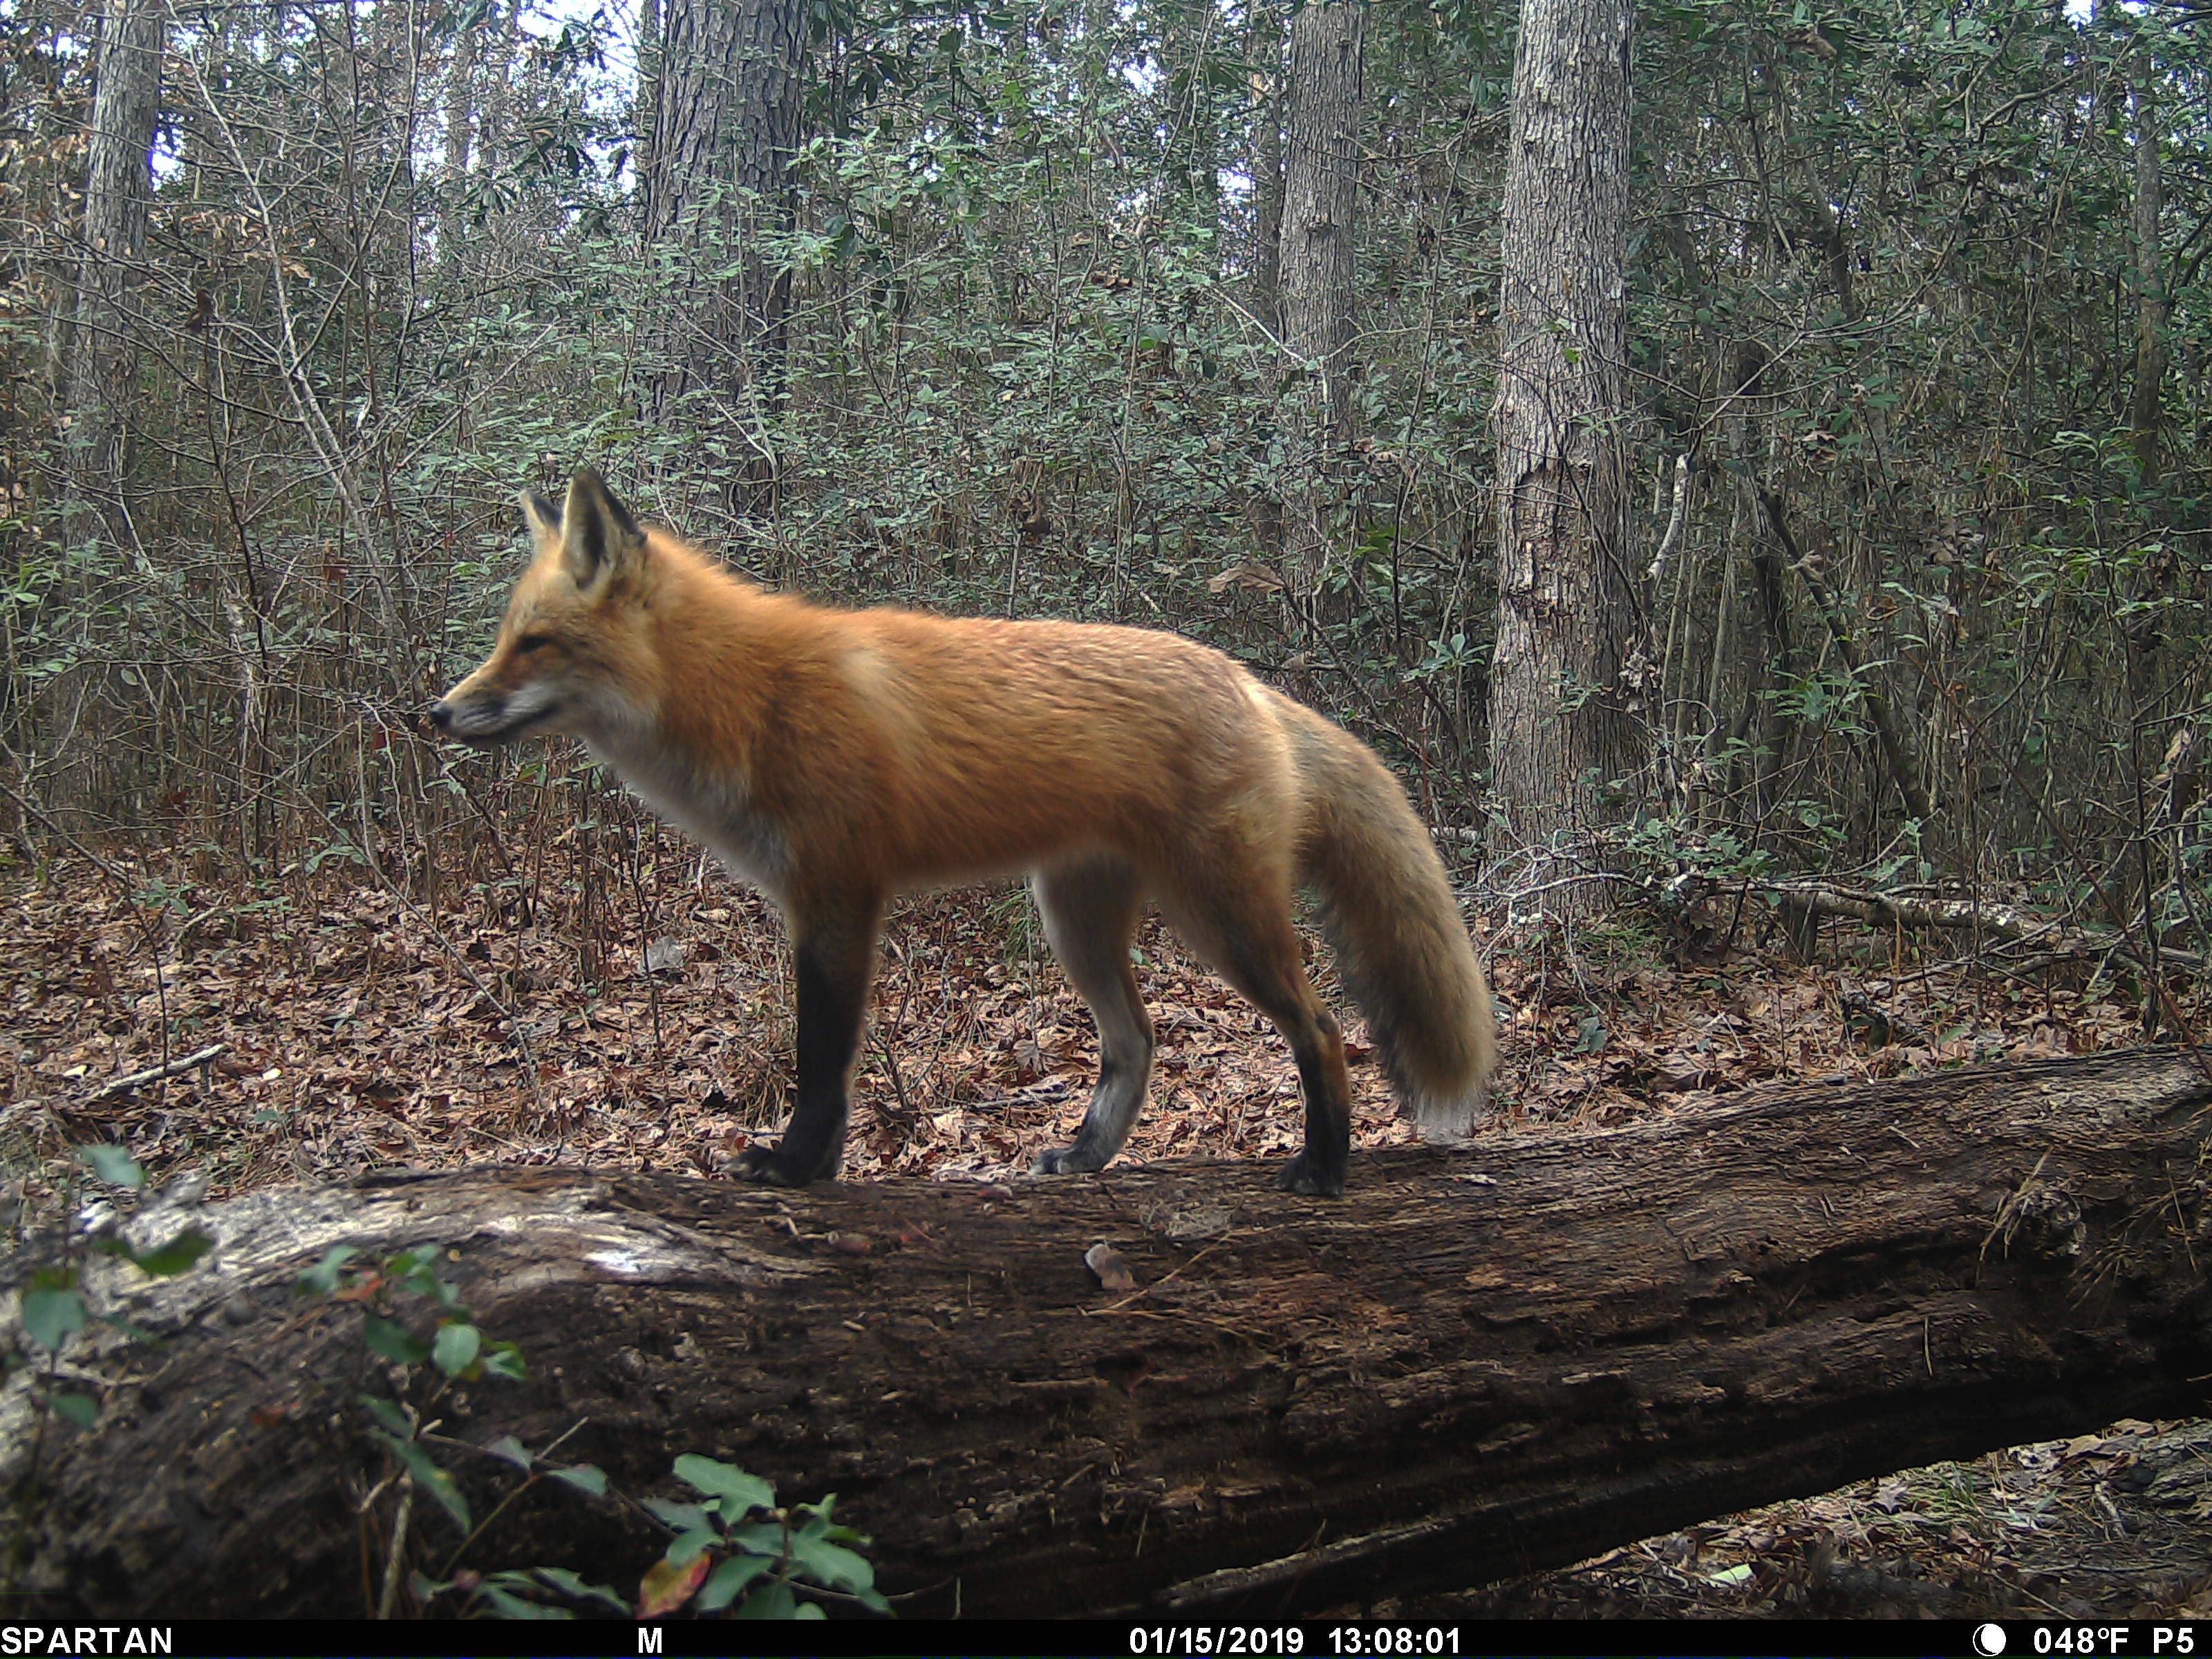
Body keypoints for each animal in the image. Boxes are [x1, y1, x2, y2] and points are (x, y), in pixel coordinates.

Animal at [430, 470, 1494, 1196]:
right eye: (505, 638)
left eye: (535, 644)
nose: (437, 713)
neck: (752, 699)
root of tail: (1245, 679)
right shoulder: (822, 901)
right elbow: (833, 1065)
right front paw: (816, 1170)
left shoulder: (837, 896)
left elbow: (821, 1060)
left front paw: (795, 1166)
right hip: (1076, 922)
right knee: (1138, 1041)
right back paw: (1087, 1155)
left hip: (1220, 917)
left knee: (1322, 1031)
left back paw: (1324, 1168)